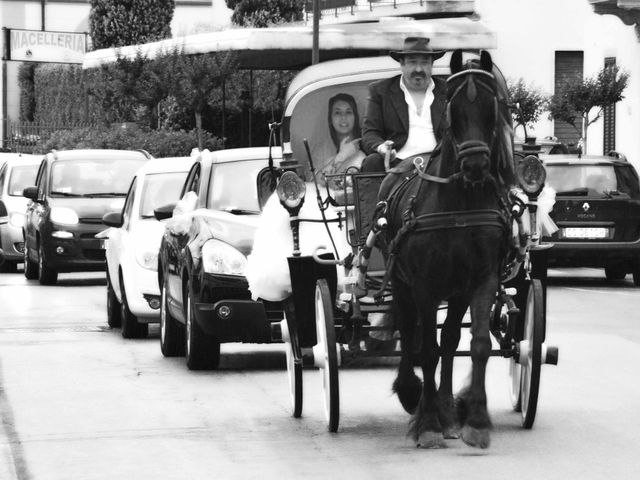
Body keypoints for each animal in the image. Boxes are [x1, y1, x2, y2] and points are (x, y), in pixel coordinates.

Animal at [380, 49, 516, 450]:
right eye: (455, 111)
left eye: (491, 107)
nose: (475, 165)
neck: (459, 202)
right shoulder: (423, 283)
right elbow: (426, 348)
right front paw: (426, 423)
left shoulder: (481, 279)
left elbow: (477, 343)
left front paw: (475, 420)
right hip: (402, 282)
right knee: (410, 331)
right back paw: (413, 393)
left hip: (455, 291)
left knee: (450, 339)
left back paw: (446, 412)